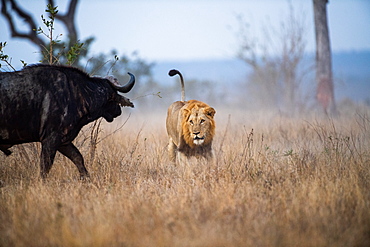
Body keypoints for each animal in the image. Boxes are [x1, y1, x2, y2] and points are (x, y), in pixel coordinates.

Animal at [0, 64, 136, 178]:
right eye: (113, 95)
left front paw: (86, 179)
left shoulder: (63, 141)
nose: (118, 111)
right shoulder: (50, 140)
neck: (76, 92)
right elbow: (45, 167)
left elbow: (78, 158)